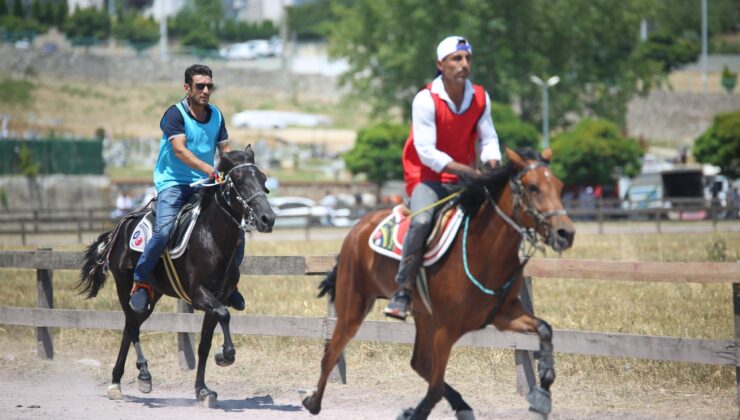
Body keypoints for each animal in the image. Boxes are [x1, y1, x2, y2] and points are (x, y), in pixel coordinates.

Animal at [79, 146, 274, 406]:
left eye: (263, 179)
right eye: (240, 181)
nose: (267, 218)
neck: (210, 237)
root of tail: (120, 228)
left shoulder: (219, 297)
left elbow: (205, 343)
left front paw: (202, 390)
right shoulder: (199, 295)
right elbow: (224, 315)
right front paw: (225, 355)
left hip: (152, 293)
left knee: (129, 328)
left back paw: (116, 381)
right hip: (124, 284)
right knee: (132, 326)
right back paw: (142, 374)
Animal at [304, 147, 576, 416]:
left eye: (560, 186)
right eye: (533, 187)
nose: (566, 233)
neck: (483, 251)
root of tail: (358, 227)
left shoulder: (504, 314)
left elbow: (545, 329)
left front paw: (543, 389)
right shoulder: (447, 330)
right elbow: (434, 389)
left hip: (424, 316)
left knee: (418, 362)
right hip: (353, 307)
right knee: (331, 352)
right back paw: (314, 402)